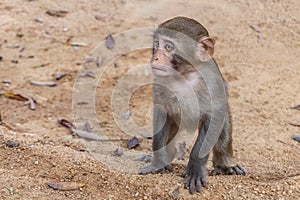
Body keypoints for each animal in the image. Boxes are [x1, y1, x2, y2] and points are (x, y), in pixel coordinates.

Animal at [141, 16, 246, 194]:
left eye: (168, 47)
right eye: (156, 44)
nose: (155, 58)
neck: (184, 75)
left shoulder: (211, 82)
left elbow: (214, 118)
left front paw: (195, 169)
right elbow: (162, 113)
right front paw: (158, 162)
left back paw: (225, 164)